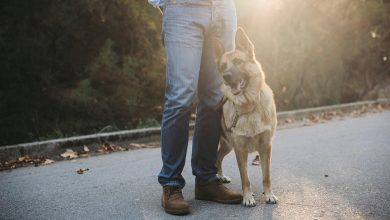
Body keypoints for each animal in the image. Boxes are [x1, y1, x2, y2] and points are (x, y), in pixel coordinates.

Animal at [213, 27, 278, 206]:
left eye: (237, 62)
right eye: (223, 66)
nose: (226, 76)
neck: (249, 106)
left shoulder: (266, 147)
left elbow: (266, 176)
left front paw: (269, 194)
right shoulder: (239, 150)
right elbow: (245, 178)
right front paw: (247, 197)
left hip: (227, 146)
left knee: (218, 158)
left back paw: (220, 176)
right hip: (227, 145)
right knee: (215, 159)